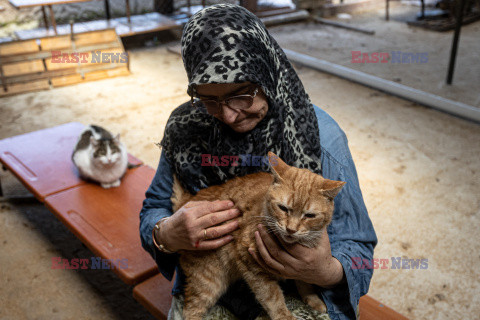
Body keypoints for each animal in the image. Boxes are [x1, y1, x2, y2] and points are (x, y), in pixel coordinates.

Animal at [172, 152, 344, 320]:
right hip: (208, 281)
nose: (291, 229)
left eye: (309, 215)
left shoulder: (303, 267)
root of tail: (186, 202)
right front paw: (284, 316)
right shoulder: (250, 264)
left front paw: (313, 300)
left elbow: (305, 281)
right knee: (190, 310)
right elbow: (272, 297)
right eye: (283, 208)